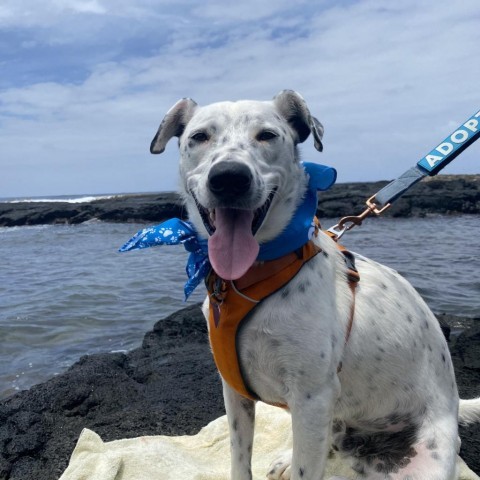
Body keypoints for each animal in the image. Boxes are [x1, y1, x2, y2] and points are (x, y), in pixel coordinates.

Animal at [148, 91, 478, 480]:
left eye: (267, 135)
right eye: (199, 137)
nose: (229, 177)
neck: (251, 276)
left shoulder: (311, 397)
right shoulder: (234, 390)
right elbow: (239, 459)